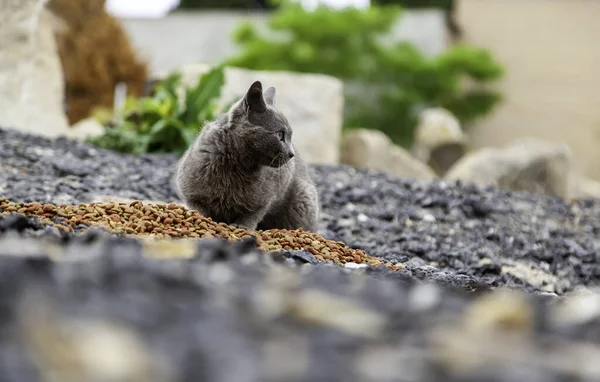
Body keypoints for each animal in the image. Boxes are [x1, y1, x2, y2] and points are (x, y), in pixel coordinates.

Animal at [176, 80, 322, 233]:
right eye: (280, 134)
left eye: (290, 136)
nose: (291, 154)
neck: (233, 165)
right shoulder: (191, 194)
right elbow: (199, 209)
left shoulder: (264, 201)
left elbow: (251, 215)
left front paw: (242, 227)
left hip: (305, 197)